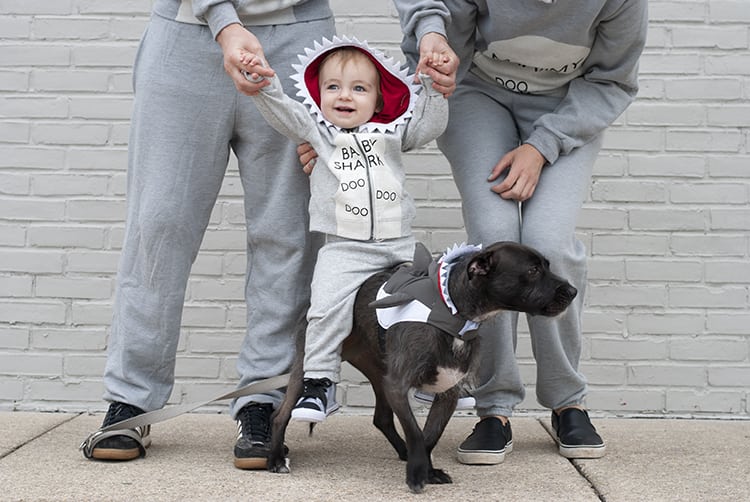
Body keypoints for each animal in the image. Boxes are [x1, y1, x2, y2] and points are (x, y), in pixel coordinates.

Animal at [268, 241, 580, 492]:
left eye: (546, 266)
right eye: (533, 271)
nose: (573, 291)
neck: (453, 313)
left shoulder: (447, 392)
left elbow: (429, 436)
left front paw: (425, 470)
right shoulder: (398, 385)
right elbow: (417, 432)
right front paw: (417, 475)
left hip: (379, 373)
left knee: (382, 418)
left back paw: (404, 452)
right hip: (308, 366)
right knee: (280, 414)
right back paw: (275, 459)